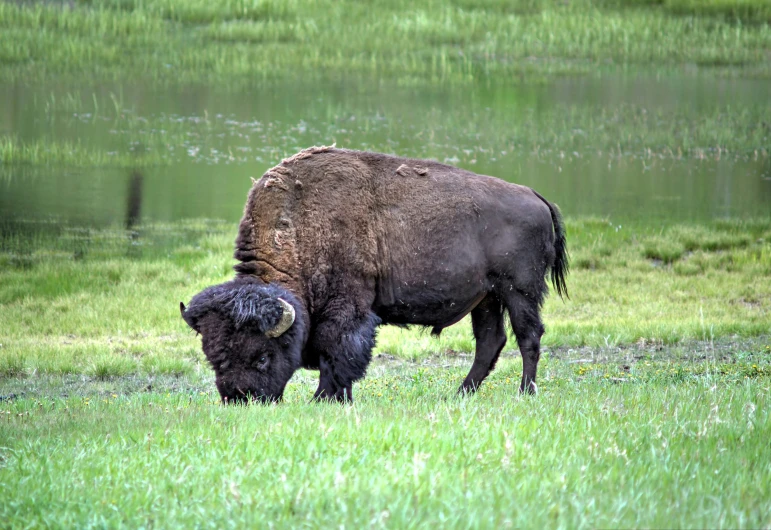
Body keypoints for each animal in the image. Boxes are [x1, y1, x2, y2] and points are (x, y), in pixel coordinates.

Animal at [179, 146, 568, 402]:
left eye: (262, 356)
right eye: (213, 356)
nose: (241, 398)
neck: (298, 225)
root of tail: (537, 197)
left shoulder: (347, 308)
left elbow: (337, 351)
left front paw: (324, 398)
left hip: (519, 292)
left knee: (528, 337)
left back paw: (524, 393)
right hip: (486, 298)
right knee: (490, 341)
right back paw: (460, 394)